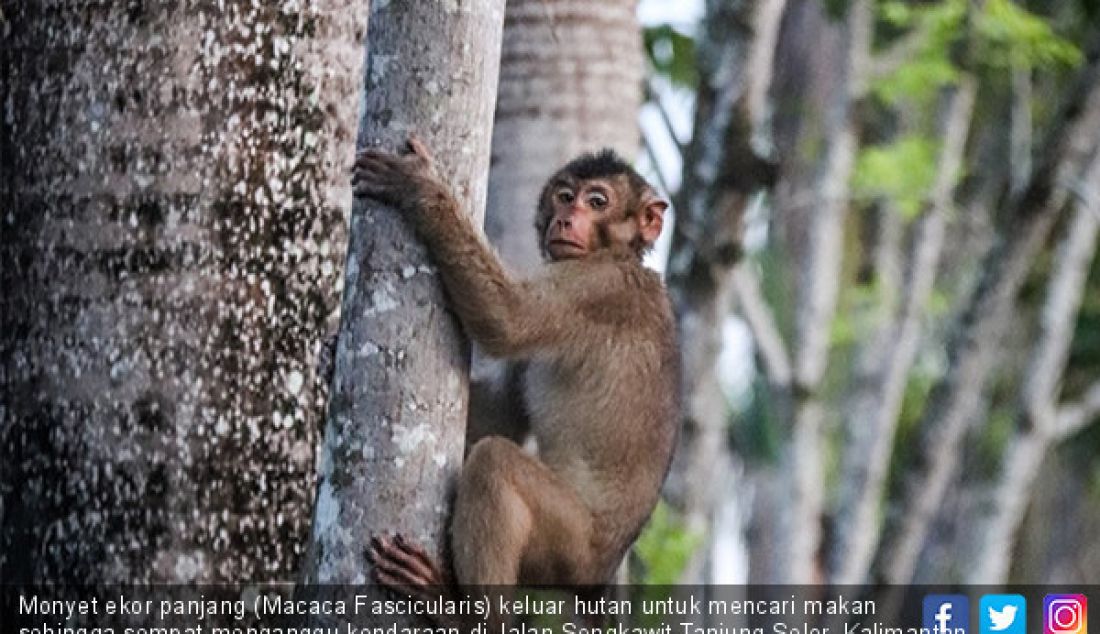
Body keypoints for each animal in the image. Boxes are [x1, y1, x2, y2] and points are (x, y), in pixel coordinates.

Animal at [352, 137, 677, 594]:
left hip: (573, 546)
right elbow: (498, 413)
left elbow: (508, 319)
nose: (565, 219)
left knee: (494, 463)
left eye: (597, 202)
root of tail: (603, 570)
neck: (623, 256)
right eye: (565, 196)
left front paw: (418, 186)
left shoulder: (598, 285)